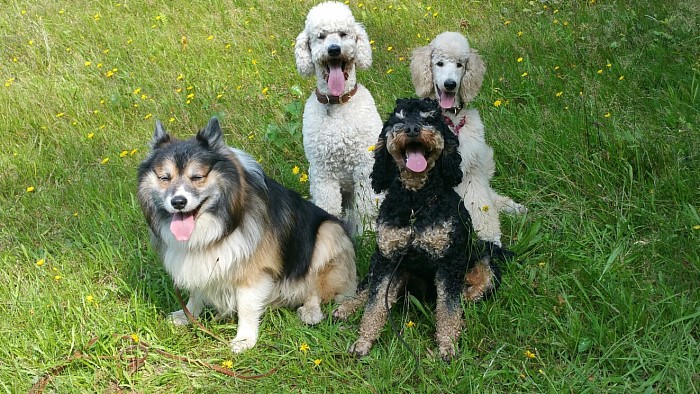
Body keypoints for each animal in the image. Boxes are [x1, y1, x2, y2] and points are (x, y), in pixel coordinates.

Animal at [138, 117, 356, 354]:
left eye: (197, 177)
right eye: (164, 178)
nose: (178, 202)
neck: (220, 223)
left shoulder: (253, 271)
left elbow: (246, 306)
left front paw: (244, 340)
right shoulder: (198, 263)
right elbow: (196, 292)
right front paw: (187, 315)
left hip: (328, 234)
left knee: (316, 287)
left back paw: (310, 312)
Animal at [294, 0, 382, 234]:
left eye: (343, 34)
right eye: (321, 36)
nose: (334, 49)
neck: (338, 105)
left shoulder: (366, 166)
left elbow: (367, 206)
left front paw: (368, 231)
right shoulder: (322, 171)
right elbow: (328, 206)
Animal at [332, 98, 498, 360]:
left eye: (429, 118)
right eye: (398, 120)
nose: (411, 129)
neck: (415, 204)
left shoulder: (450, 262)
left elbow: (448, 308)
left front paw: (447, 345)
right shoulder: (388, 260)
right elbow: (375, 302)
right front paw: (364, 341)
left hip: (484, 257)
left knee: (476, 287)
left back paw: (467, 299)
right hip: (382, 262)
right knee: (367, 288)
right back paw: (348, 306)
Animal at [410, 32, 524, 248]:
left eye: (460, 64)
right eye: (439, 63)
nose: (450, 84)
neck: (451, 122)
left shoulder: (472, 170)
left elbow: (481, 205)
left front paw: (491, 237)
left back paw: (512, 207)